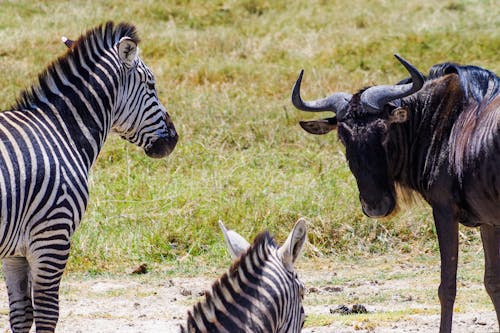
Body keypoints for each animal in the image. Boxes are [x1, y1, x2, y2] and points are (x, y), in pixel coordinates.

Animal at [0, 22, 179, 330]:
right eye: (151, 85)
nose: (174, 139)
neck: (62, 130)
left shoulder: (16, 250)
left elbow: (21, 314)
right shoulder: (53, 235)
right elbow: (47, 312)